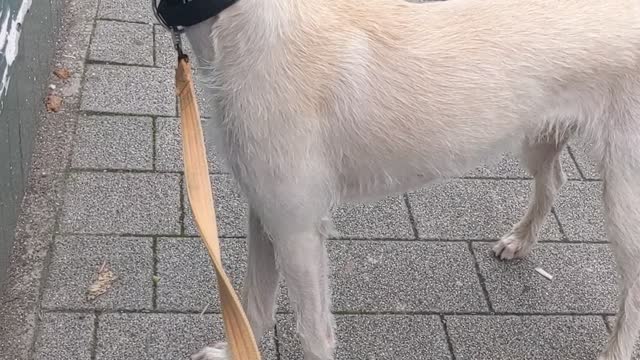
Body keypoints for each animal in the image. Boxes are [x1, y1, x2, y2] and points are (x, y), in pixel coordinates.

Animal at [184, 0, 640, 358]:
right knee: (555, 179)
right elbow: (252, 304)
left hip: (624, 199)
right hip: (537, 135)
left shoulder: (297, 228)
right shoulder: (266, 209)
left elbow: (313, 334)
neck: (240, 23)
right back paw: (521, 240)